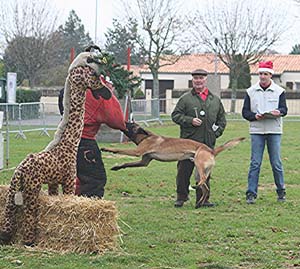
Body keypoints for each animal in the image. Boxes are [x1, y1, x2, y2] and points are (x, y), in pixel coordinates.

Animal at [102, 121, 245, 203]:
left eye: (130, 125)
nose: (124, 120)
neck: (145, 136)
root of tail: (211, 150)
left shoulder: (137, 152)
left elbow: (120, 149)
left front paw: (107, 149)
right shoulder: (144, 161)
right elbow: (127, 164)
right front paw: (116, 167)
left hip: (199, 165)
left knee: (204, 182)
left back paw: (196, 190)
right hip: (198, 171)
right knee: (206, 188)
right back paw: (199, 203)